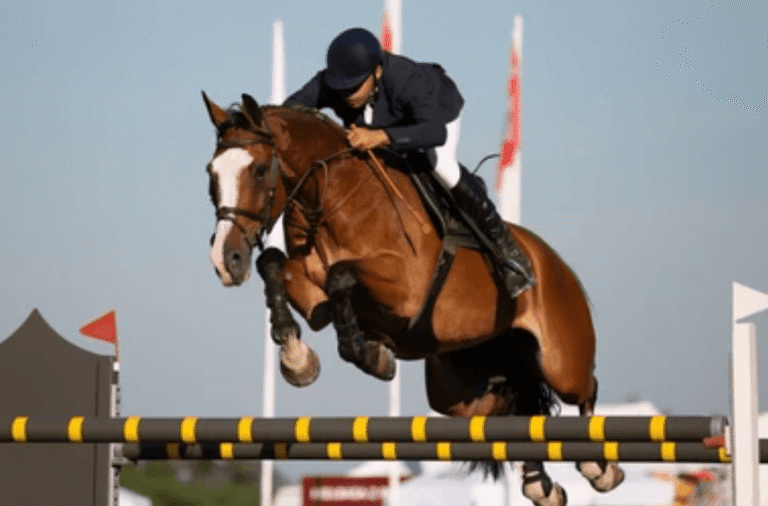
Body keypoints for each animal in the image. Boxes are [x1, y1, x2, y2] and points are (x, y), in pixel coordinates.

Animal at [202, 91, 624, 506]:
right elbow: (273, 265)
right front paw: (297, 357)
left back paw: (599, 468)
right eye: (211, 175)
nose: (226, 260)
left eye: (259, 170)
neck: (333, 199)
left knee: (584, 388)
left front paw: (368, 353)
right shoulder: (314, 298)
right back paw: (540, 484)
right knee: (512, 410)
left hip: (559, 361)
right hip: (458, 390)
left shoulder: (405, 290)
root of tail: (552, 261)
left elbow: (342, 274)